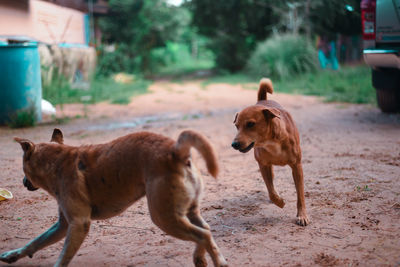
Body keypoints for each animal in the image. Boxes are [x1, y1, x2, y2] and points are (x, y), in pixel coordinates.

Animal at [1, 129, 228, 266]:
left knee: (203, 234)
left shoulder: (78, 224)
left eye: (24, 169)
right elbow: (35, 242)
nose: (23, 181)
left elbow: (62, 257)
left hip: (164, 217)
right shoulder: (63, 225)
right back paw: (201, 258)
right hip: (186, 212)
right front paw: (12, 255)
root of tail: (175, 152)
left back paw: (217, 262)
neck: (57, 160)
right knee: (206, 230)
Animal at [231, 78, 310, 227]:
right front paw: (279, 201)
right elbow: (271, 192)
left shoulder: (297, 166)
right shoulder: (263, 165)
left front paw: (302, 216)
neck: (271, 142)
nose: (234, 144)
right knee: (271, 185)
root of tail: (263, 101)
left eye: (250, 124)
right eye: (236, 126)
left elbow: (300, 194)